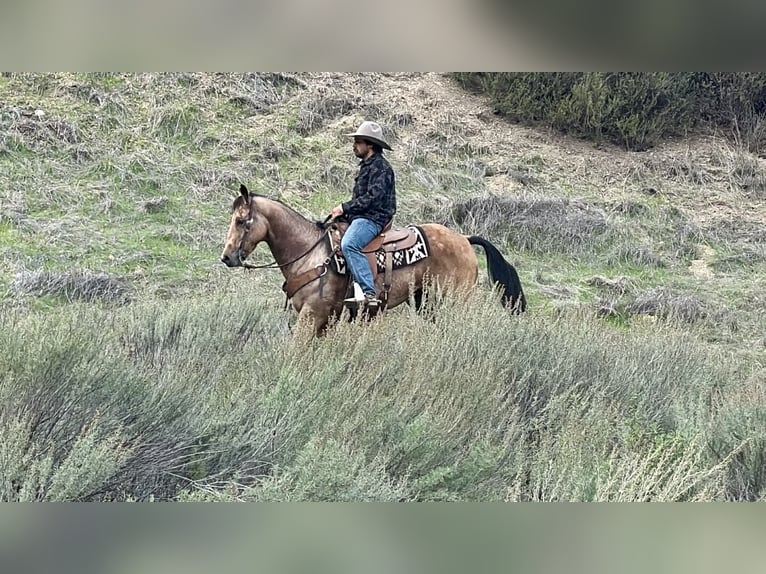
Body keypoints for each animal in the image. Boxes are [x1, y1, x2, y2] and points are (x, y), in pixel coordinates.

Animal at [220, 184, 526, 335]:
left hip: (454, 301)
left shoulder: (312, 315)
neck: (310, 254)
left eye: (240, 221)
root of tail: (464, 238)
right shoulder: (325, 319)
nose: (227, 257)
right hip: (427, 302)